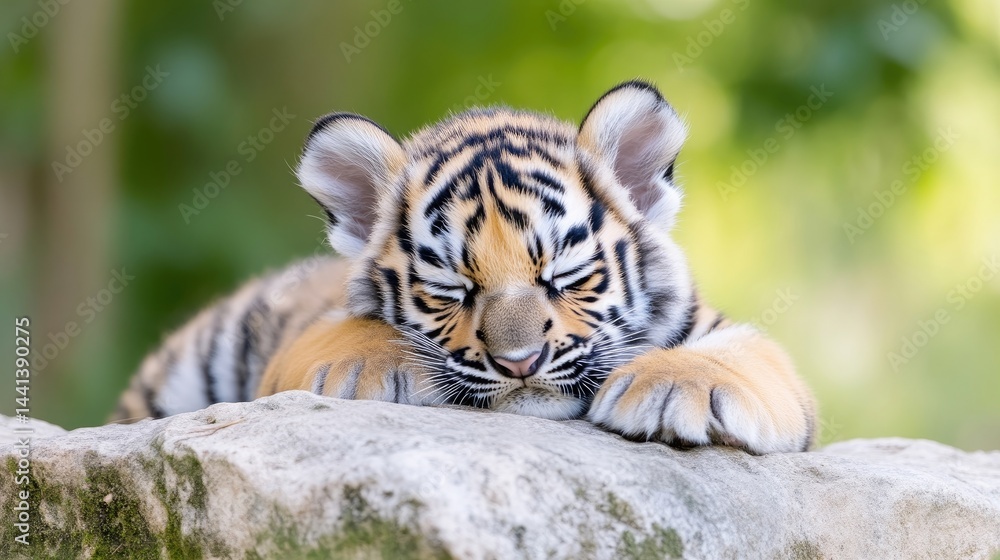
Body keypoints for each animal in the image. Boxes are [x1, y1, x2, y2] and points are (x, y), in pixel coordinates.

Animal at [113, 80, 817, 454]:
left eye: (563, 275)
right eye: (452, 288)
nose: (520, 363)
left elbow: (749, 353)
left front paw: (675, 387)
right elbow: (337, 336)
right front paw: (376, 366)